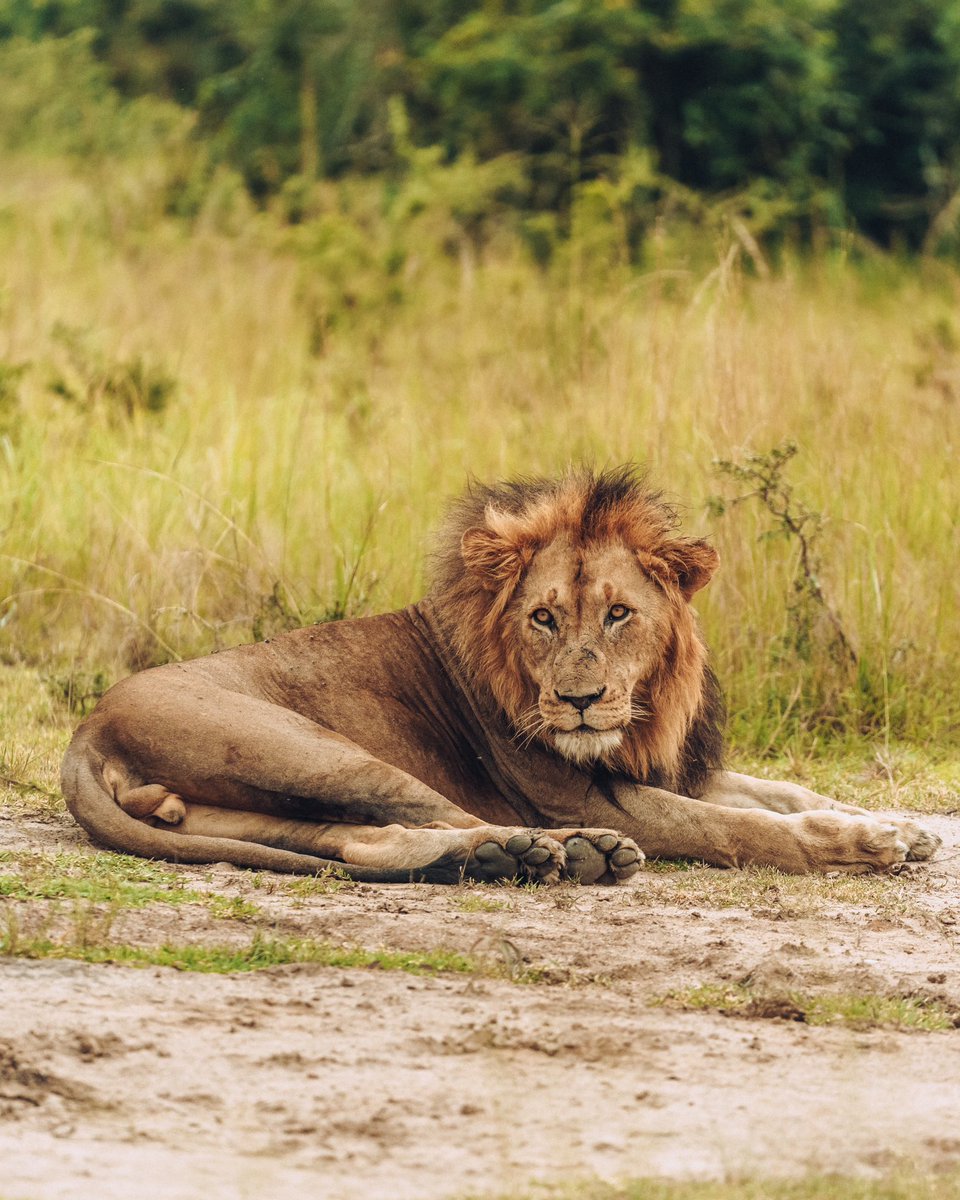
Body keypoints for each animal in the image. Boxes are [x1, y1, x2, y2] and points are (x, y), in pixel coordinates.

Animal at [58, 468, 936, 883]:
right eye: (543, 618)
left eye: (619, 614)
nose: (579, 701)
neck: (648, 709)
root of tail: (86, 730)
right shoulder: (584, 790)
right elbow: (738, 826)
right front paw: (861, 843)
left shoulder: (668, 764)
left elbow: (781, 790)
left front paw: (901, 825)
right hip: (316, 750)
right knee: (447, 816)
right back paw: (569, 855)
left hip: (241, 807)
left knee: (360, 840)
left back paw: (501, 863)